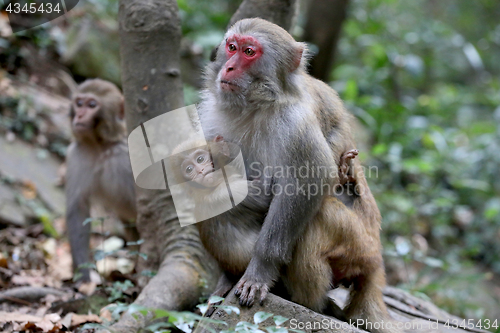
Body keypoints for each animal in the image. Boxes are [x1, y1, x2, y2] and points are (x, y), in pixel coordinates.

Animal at [66, 79, 139, 282]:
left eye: (92, 105)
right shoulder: (77, 155)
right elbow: (78, 210)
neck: (99, 145)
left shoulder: (126, 155)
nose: (79, 114)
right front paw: (83, 275)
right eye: (79, 103)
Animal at [199, 18, 398, 332]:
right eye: (231, 47)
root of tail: (376, 260)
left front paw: (259, 271)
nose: (228, 67)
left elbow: (309, 180)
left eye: (249, 52)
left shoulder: (294, 122)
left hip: (358, 246)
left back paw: (311, 303)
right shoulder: (210, 112)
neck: (254, 106)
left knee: (317, 215)